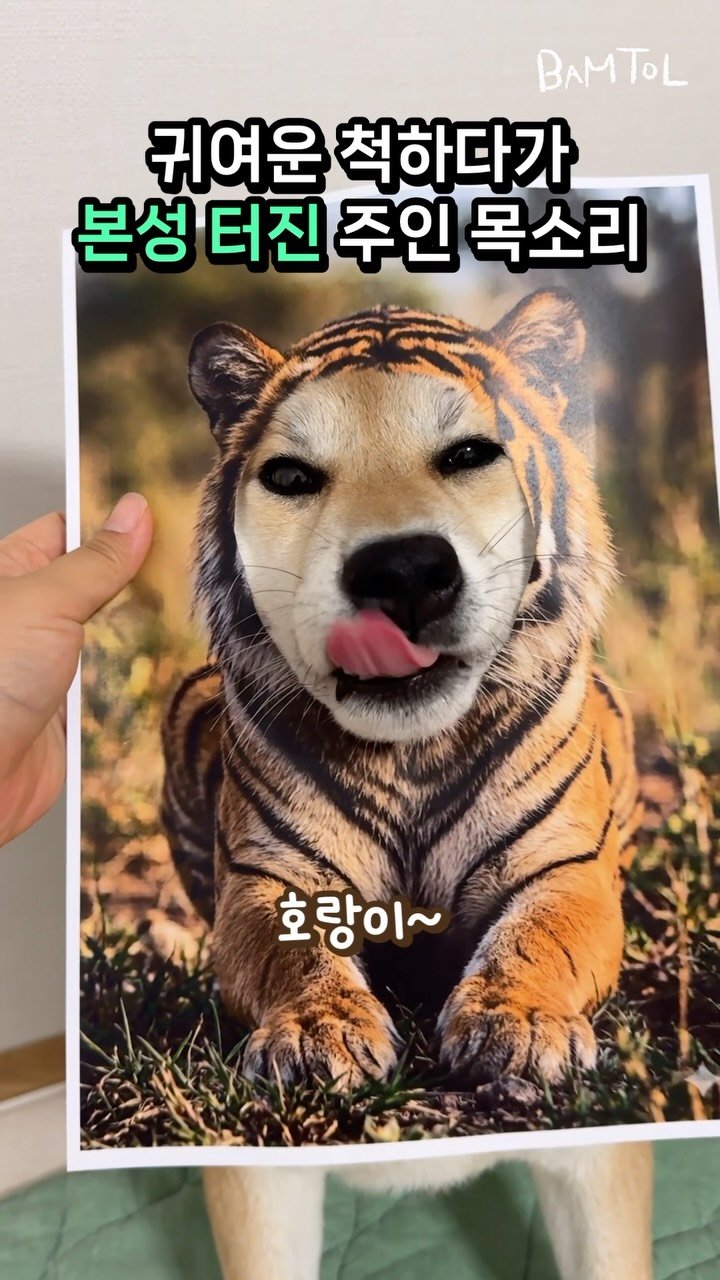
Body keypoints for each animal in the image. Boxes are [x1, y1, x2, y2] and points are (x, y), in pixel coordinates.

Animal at [161, 288, 644, 1090]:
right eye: (292, 477)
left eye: (469, 454)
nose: (404, 570)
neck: (412, 750)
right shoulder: (268, 880)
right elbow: (294, 959)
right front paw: (316, 1033)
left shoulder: (566, 866)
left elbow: (538, 938)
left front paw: (519, 1023)